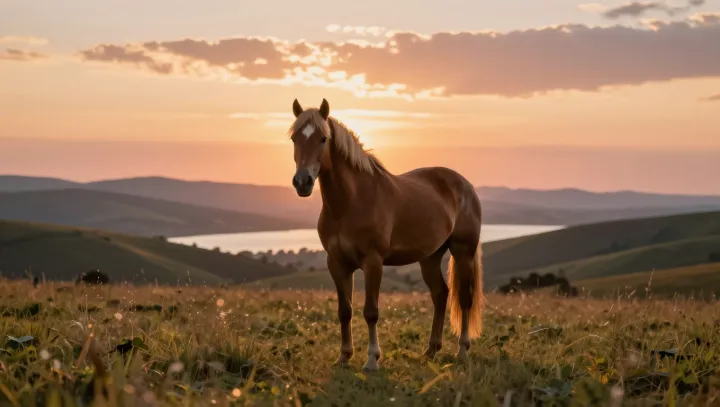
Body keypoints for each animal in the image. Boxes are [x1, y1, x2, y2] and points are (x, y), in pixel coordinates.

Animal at [287, 98, 484, 371]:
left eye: (323, 139)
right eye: (294, 138)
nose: (302, 182)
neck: (351, 202)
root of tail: (465, 185)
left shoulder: (373, 262)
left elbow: (371, 311)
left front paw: (372, 359)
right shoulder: (337, 263)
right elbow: (344, 311)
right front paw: (344, 356)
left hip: (463, 251)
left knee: (464, 299)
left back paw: (462, 351)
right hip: (430, 257)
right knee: (440, 295)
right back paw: (431, 350)